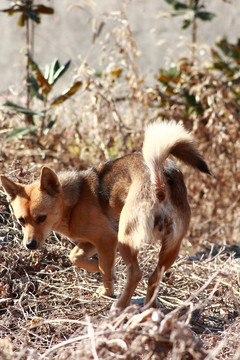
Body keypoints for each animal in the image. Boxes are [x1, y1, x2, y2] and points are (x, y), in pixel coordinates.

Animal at [0, 122, 210, 308]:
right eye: (21, 221)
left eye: (41, 218)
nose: (29, 245)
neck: (72, 202)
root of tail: (158, 182)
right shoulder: (93, 241)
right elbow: (75, 256)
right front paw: (95, 268)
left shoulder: (106, 238)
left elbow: (104, 269)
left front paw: (107, 287)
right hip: (171, 246)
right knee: (154, 277)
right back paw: (151, 306)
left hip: (126, 240)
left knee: (136, 273)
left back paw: (120, 305)